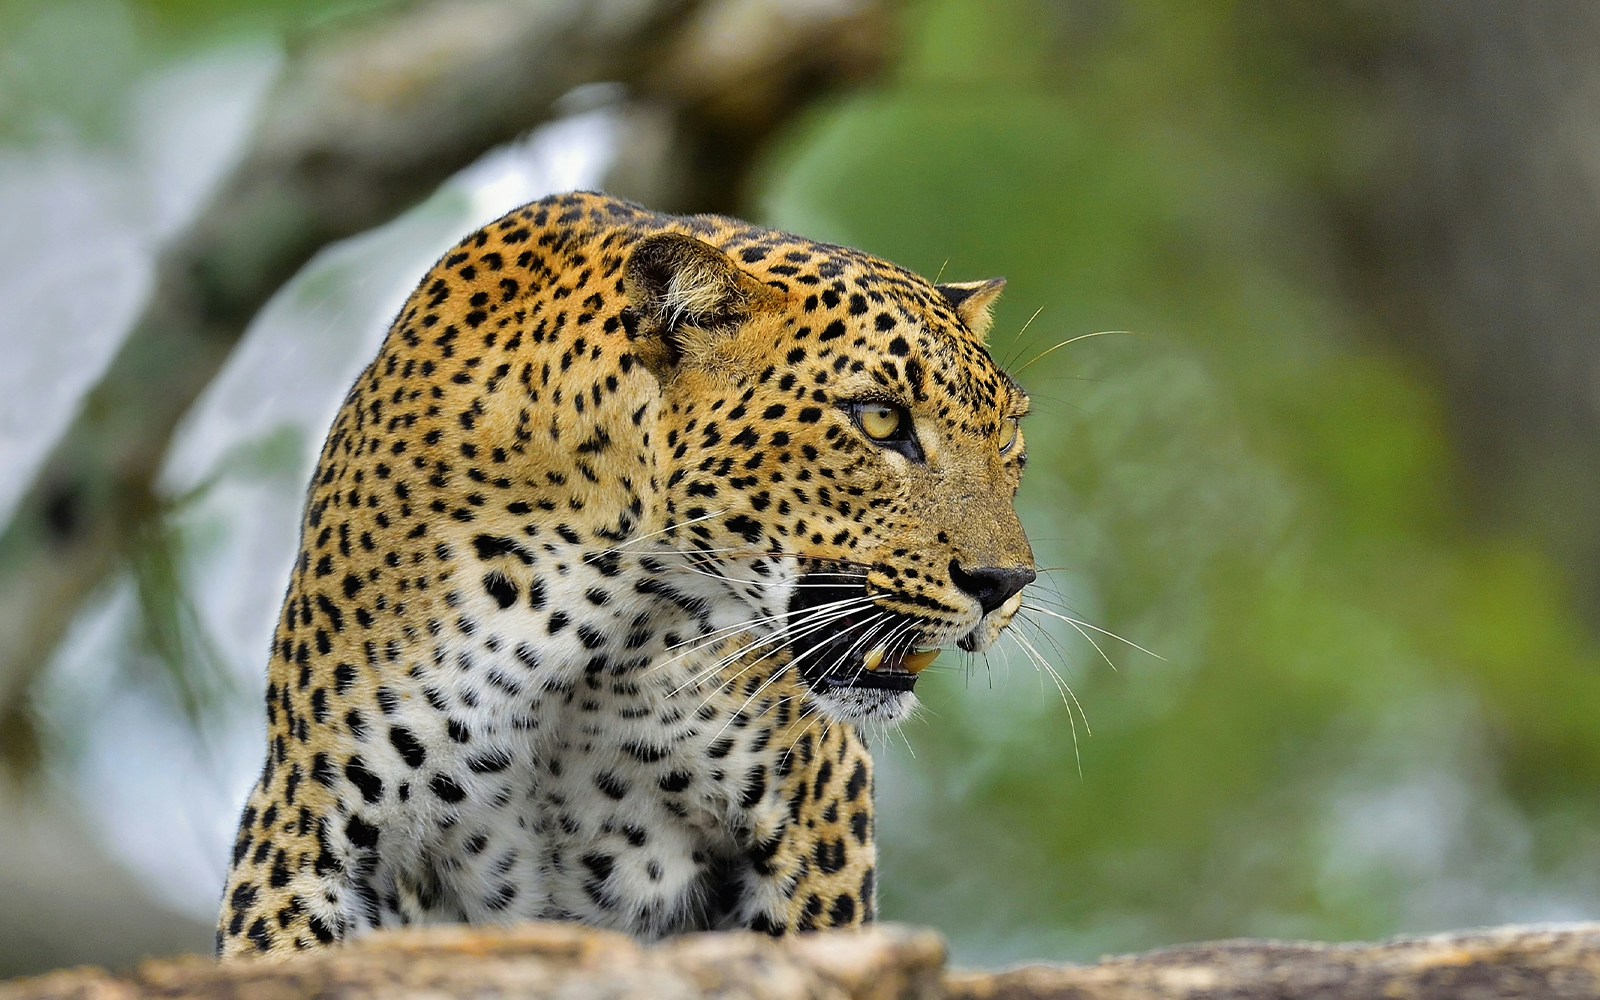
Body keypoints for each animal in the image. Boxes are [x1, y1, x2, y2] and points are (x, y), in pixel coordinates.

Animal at [216, 190, 1035, 959]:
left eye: (1008, 442)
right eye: (878, 419)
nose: (1004, 584)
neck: (606, 605)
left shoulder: (818, 810)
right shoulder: (306, 816)